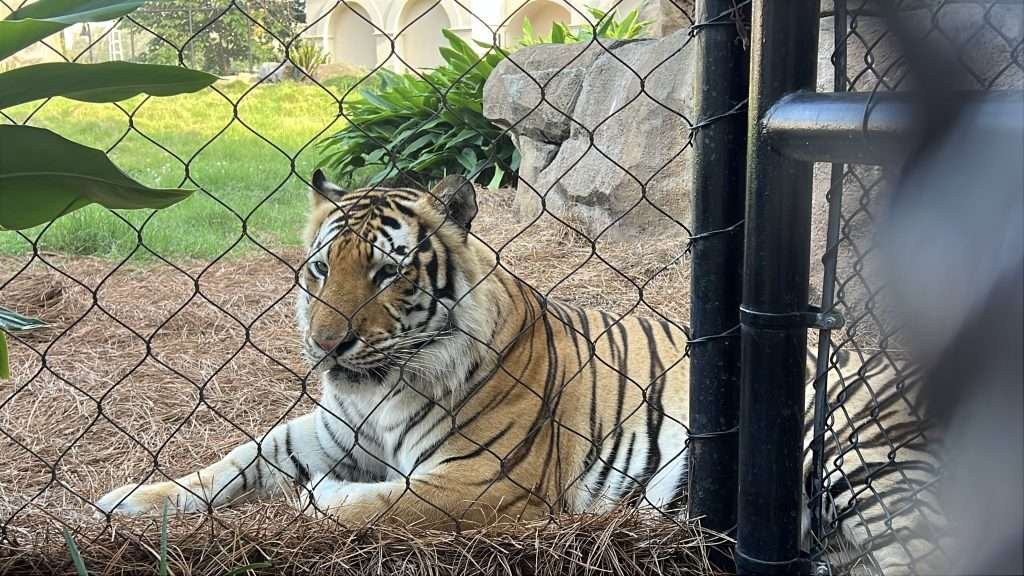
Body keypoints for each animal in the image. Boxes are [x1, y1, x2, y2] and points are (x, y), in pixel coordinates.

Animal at [95, 170, 942, 574]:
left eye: (385, 273)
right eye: (320, 269)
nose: (327, 347)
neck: (381, 387)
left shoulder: (483, 481)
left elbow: (378, 507)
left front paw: (320, 501)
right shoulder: (329, 428)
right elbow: (241, 457)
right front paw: (131, 501)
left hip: (862, 462)